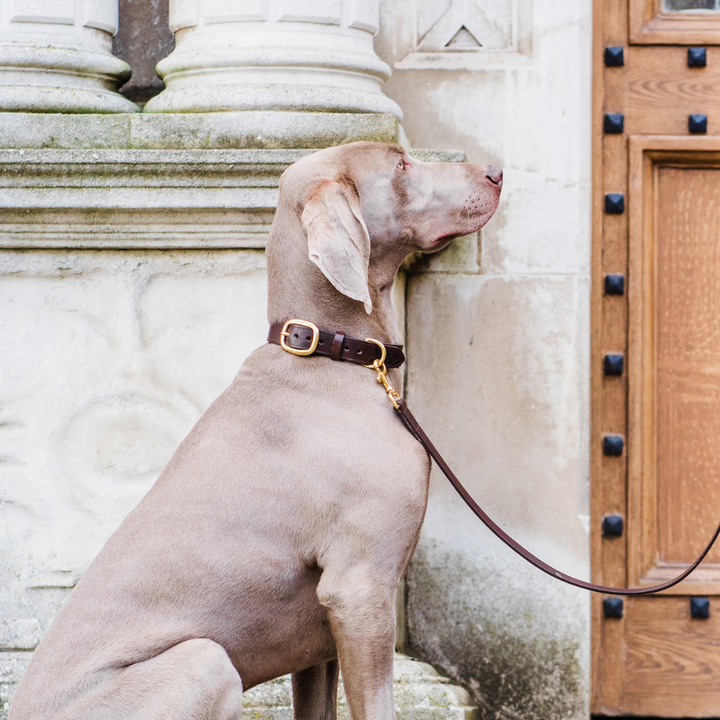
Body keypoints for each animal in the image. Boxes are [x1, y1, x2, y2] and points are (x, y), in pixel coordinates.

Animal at [9, 141, 500, 720]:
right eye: (400, 164)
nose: (496, 170)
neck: (333, 357)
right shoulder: (360, 589)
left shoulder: (321, 640)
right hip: (206, 661)